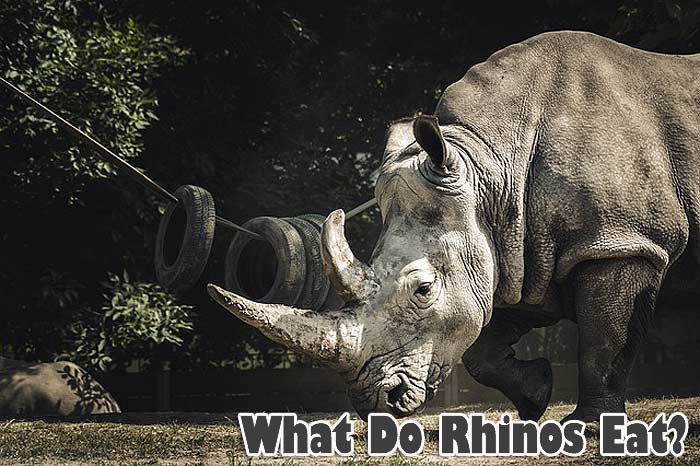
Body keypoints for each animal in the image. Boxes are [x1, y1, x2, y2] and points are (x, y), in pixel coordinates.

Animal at [208, 30, 700, 422]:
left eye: (423, 290)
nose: (377, 403)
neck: (493, 166)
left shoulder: (620, 243)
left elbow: (604, 344)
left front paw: (590, 425)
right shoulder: (523, 251)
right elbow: (482, 348)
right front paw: (536, 394)